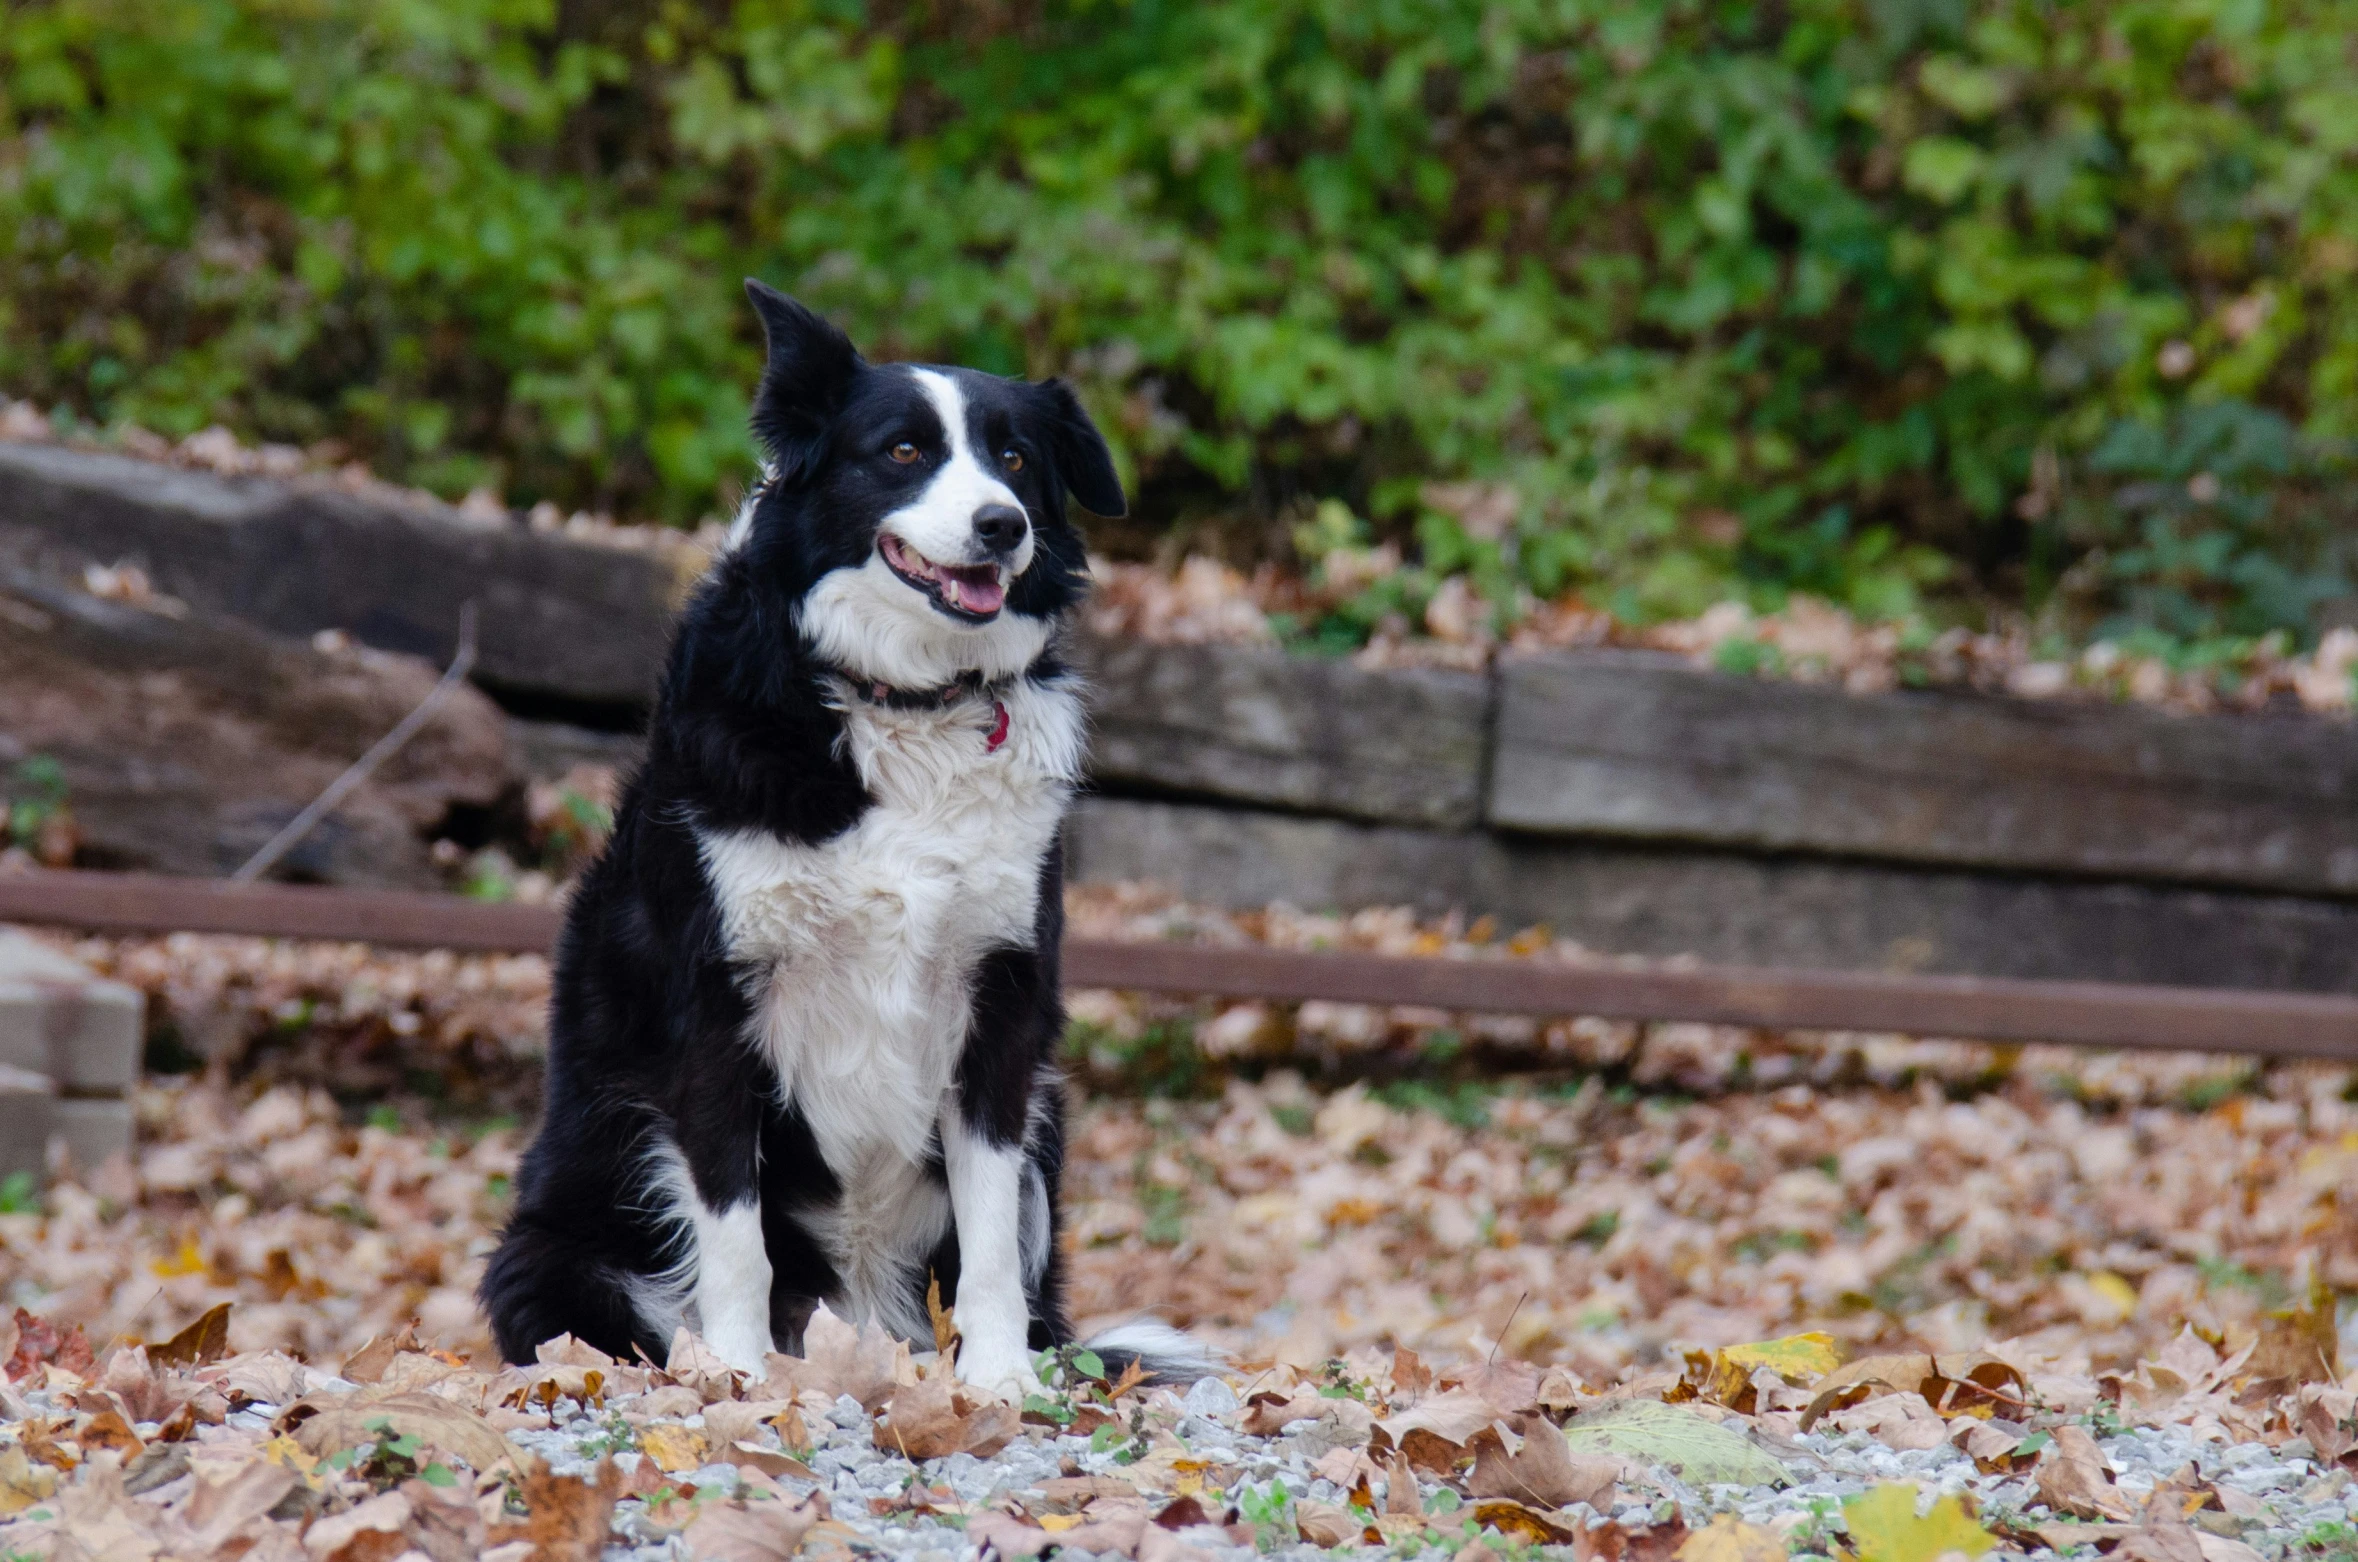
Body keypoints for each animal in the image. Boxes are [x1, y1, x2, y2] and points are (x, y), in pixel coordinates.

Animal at [488, 281, 1207, 1396]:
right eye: (903, 450)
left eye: (1015, 459)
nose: (1001, 527)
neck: (905, 703)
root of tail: (859, 1317)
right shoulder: (717, 999)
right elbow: (733, 1229)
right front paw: (739, 1379)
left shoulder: (999, 1002)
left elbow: (990, 1232)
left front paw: (997, 1381)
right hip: (552, 1243)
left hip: (1047, 1126)